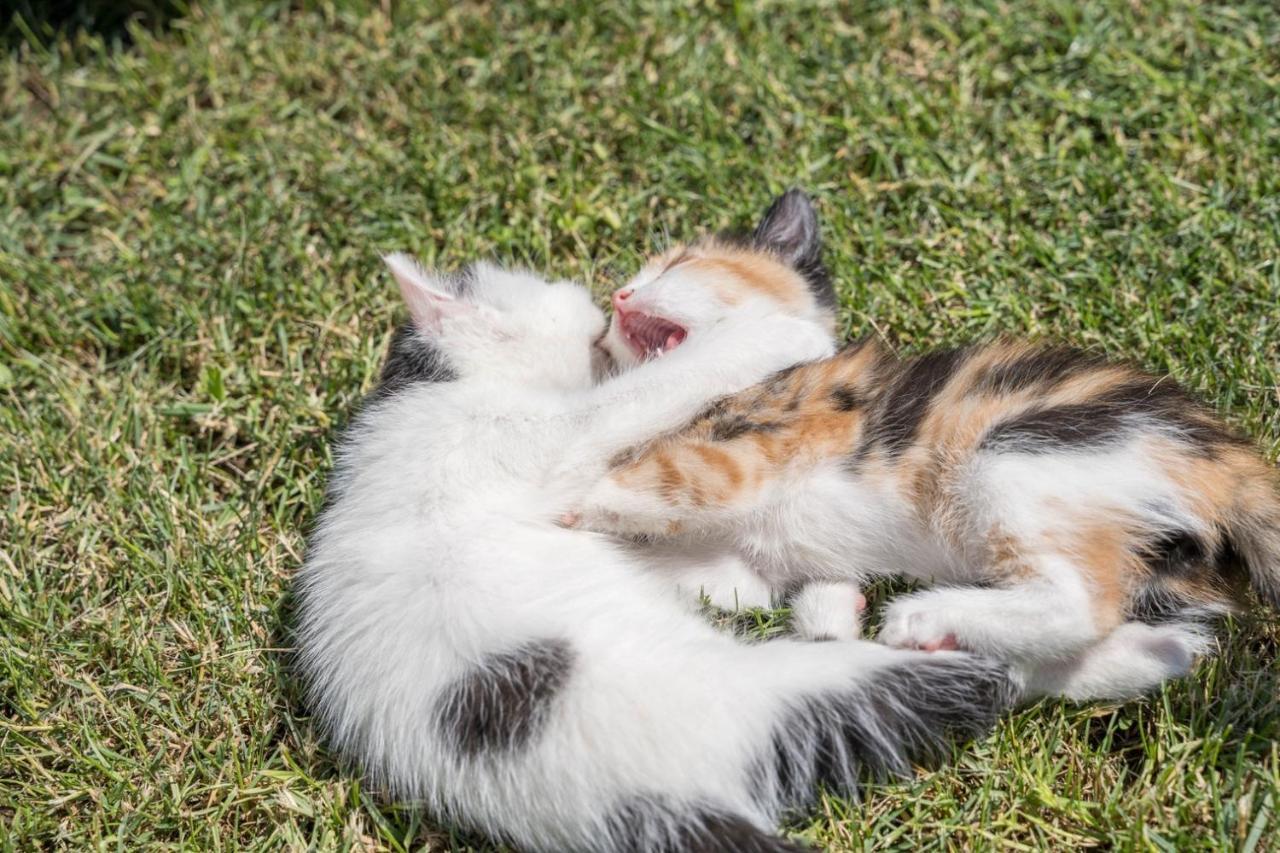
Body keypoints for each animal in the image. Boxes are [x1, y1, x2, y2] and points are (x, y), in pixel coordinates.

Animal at [294, 194, 1013, 850]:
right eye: (589, 335)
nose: (610, 308)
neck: (443, 385)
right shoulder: (536, 445)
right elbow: (643, 392)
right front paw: (782, 336)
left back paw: (837, 597)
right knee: (919, 683)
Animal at [581, 190, 1280, 696]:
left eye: (677, 265)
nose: (619, 296)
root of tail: (1229, 457)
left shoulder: (768, 438)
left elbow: (643, 479)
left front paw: (564, 495)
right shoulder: (742, 568)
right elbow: (697, 573)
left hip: (1015, 454)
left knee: (1082, 603)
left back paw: (922, 617)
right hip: (1166, 575)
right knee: (1157, 645)